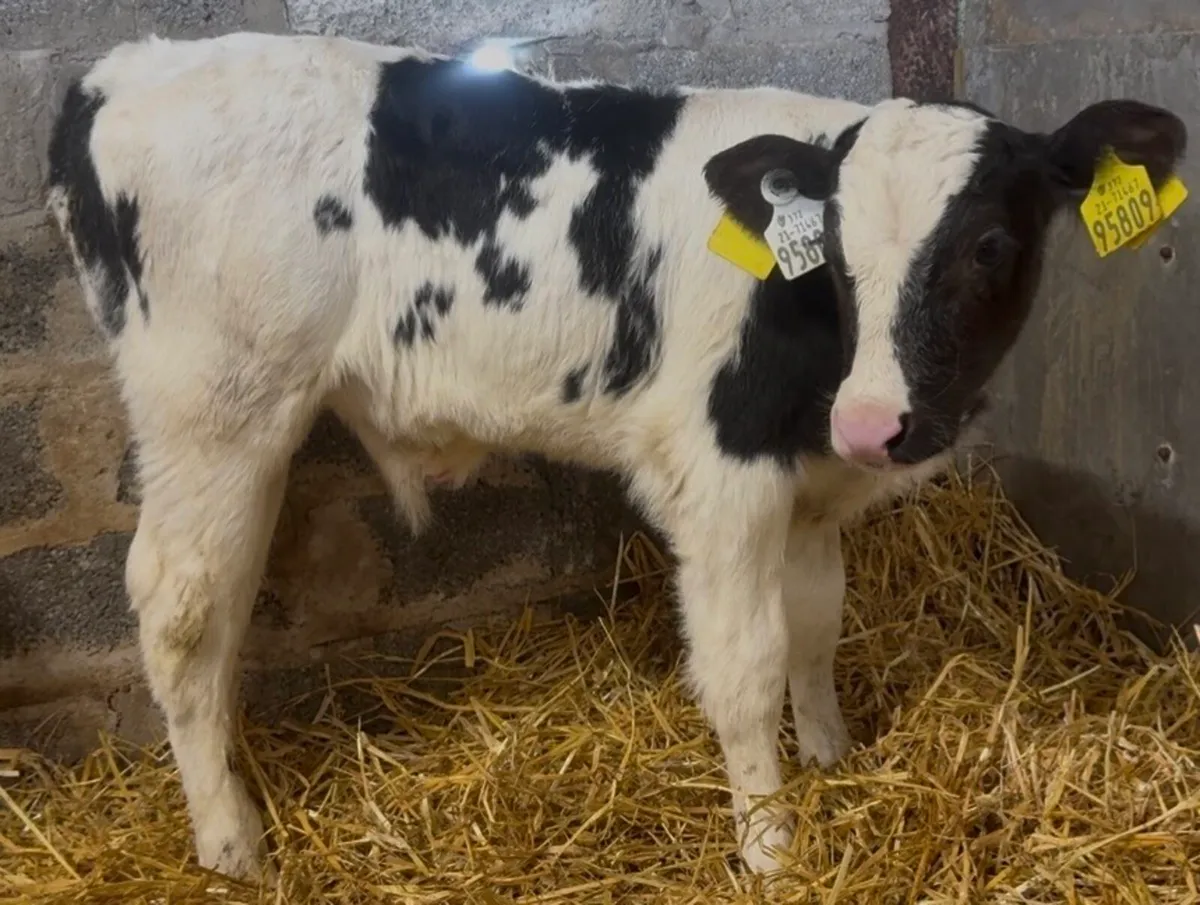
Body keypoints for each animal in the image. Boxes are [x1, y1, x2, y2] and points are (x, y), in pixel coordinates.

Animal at [45, 30, 1186, 881]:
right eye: (837, 251)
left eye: (990, 246)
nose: (875, 424)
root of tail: (122, 70)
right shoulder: (722, 475)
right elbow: (745, 663)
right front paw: (771, 843)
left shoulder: (810, 482)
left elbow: (817, 624)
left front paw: (832, 757)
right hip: (216, 409)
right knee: (183, 610)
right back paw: (231, 842)